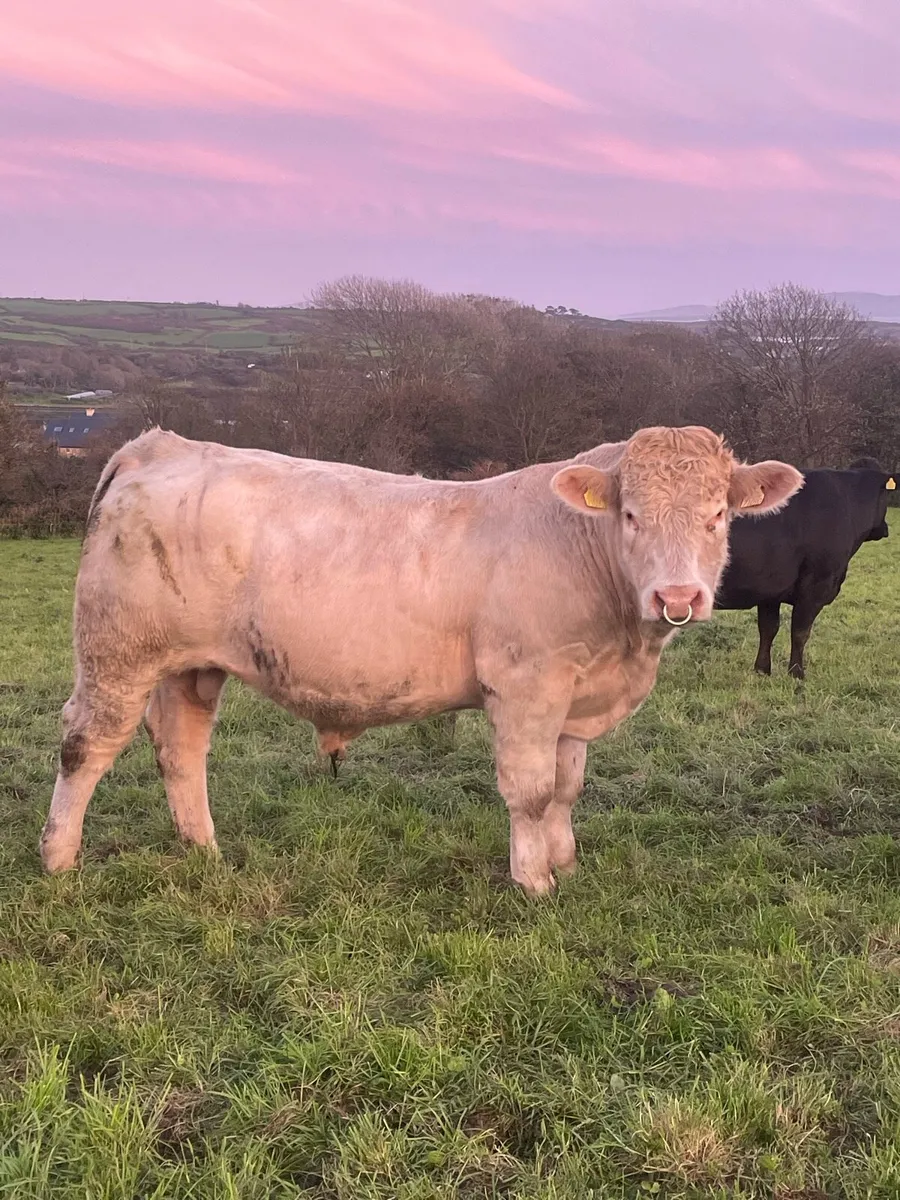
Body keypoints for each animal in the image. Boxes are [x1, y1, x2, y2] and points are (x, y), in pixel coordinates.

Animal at [40, 426, 801, 896]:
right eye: (632, 515)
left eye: (717, 515)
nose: (679, 596)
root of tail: (161, 445)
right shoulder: (526, 687)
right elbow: (529, 791)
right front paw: (533, 881)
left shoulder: (576, 696)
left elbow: (565, 788)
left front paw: (566, 862)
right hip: (117, 653)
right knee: (86, 745)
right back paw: (58, 858)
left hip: (191, 665)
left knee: (181, 747)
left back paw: (203, 849)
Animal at [715, 458, 895, 679]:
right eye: (885, 495)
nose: (884, 529)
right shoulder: (816, 585)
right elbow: (800, 633)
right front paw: (796, 673)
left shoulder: (770, 589)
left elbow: (768, 629)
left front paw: (762, 670)